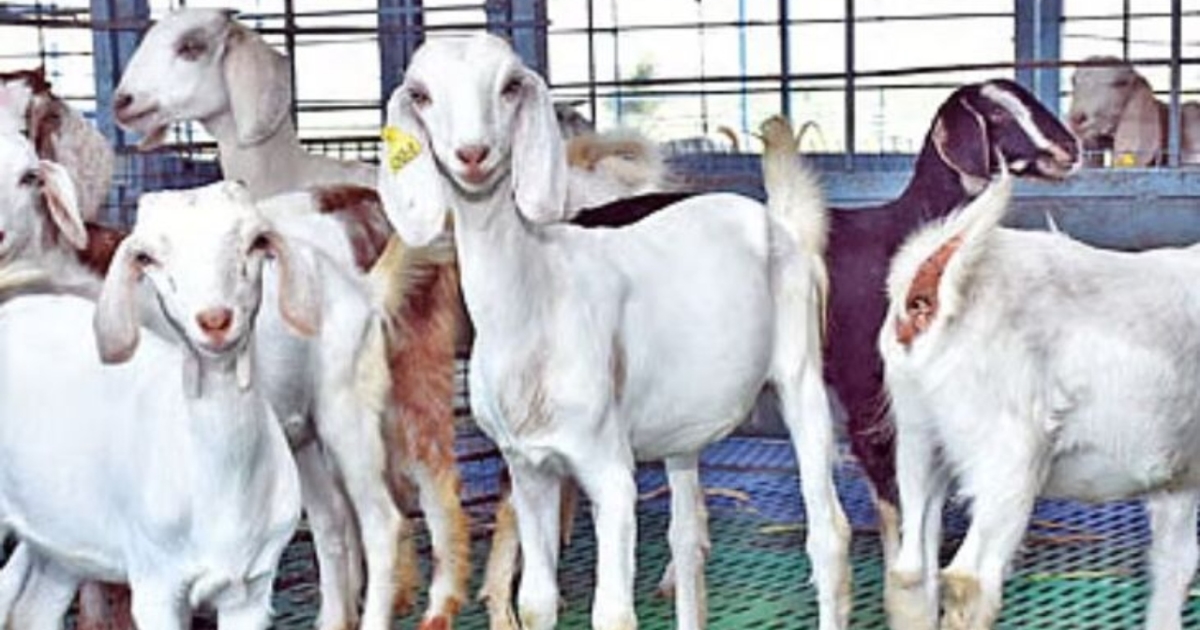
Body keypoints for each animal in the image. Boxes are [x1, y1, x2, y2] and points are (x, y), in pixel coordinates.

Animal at [0, 181, 304, 629]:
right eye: (147, 257)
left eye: (256, 242)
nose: (215, 320)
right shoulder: (156, 582)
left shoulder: (251, 588)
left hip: (61, 537)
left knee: (32, 611)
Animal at [378, 33, 849, 630]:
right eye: (420, 94)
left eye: (510, 85)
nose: (472, 154)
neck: (541, 295)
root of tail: (778, 221)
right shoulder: (528, 470)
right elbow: (535, 601)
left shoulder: (609, 471)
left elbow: (612, 613)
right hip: (682, 425)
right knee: (687, 540)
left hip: (801, 377)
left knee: (828, 536)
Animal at [879, 173, 1200, 630]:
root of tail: (928, 292)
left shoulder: (1178, 476)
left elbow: (1175, 564)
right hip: (1009, 458)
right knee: (970, 578)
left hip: (918, 438)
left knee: (910, 572)